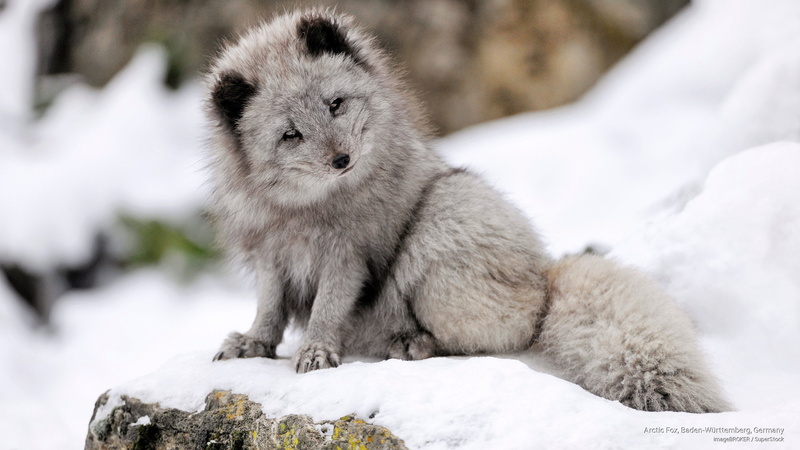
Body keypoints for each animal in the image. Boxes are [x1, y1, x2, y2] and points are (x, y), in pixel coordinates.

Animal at [205, 9, 731, 413]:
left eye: (335, 104)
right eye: (290, 134)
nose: (341, 160)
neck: (302, 213)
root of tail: (546, 277)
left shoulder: (347, 255)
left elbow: (327, 308)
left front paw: (316, 351)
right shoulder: (269, 254)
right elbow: (269, 307)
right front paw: (253, 344)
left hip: (446, 213)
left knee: (502, 336)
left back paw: (413, 343)